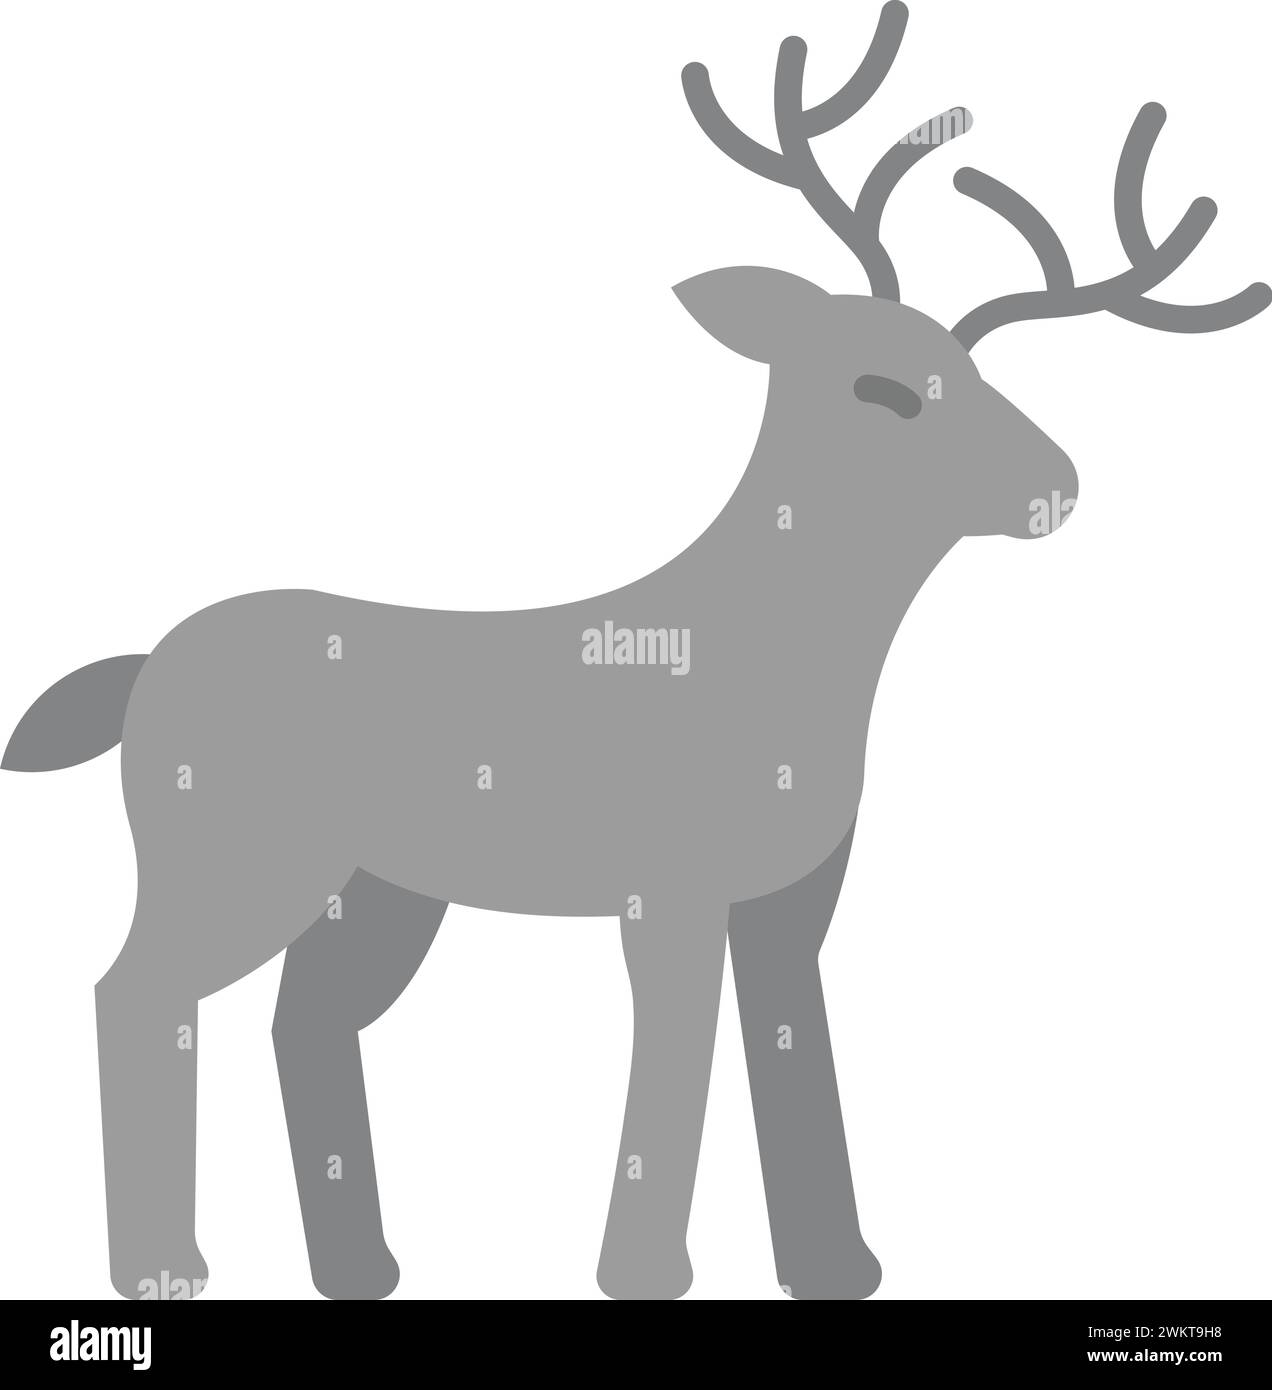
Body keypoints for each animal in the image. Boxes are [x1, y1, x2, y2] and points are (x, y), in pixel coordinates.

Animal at [3, 2, 1266, 1301]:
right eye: (884, 388)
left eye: (974, 373)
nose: (1058, 484)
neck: (773, 651)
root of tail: (139, 675)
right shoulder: (669, 883)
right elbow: (679, 1052)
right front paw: (641, 1271)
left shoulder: (795, 893)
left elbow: (792, 1046)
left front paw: (840, 1267)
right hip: (230, 860)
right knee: (133, 990)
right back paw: (162, 1268)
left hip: (378, 891)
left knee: (300, 1018)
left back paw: (364, 1267)